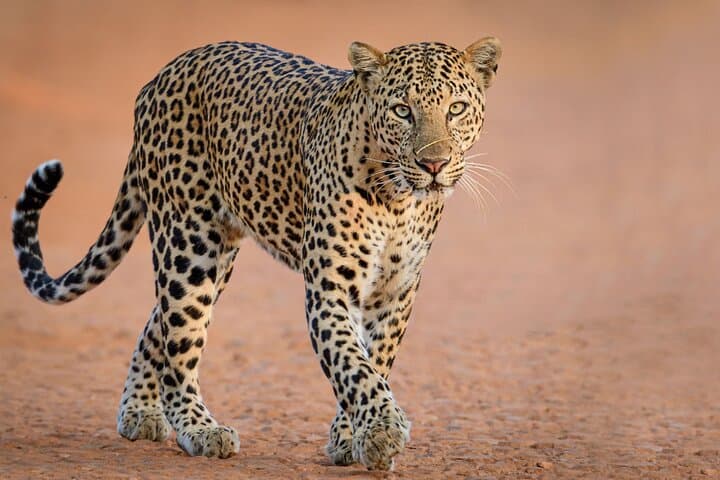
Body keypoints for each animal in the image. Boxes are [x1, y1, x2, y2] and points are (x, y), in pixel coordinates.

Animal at [11, 37, 501, 470]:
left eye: (456, 109)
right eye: (403, 110)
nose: (433, 164)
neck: (398, 201)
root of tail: (159, 76)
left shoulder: (395, 294)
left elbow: (374, 363)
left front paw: (352, 439)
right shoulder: (329, 290)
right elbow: (351, 365)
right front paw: (380, 430)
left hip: (215, 256)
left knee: (158, 325)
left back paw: (139, 412)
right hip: (189, 247)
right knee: (179, 342)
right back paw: (199, 429)